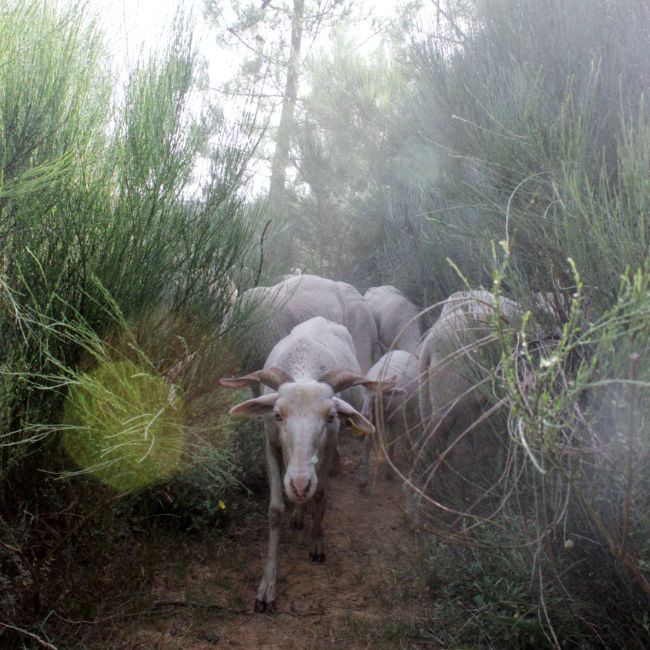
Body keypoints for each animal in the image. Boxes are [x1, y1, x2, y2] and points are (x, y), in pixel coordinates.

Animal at [220, 316, 389, 612]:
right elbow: (276, 510)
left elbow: (320, 496)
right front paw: (267, 587)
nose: (300, 484)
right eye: (277, 415)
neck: (304, 364)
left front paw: (317, 543)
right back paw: (298, 512)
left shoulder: (328, 445)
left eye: (331, 416)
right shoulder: (271, 445)